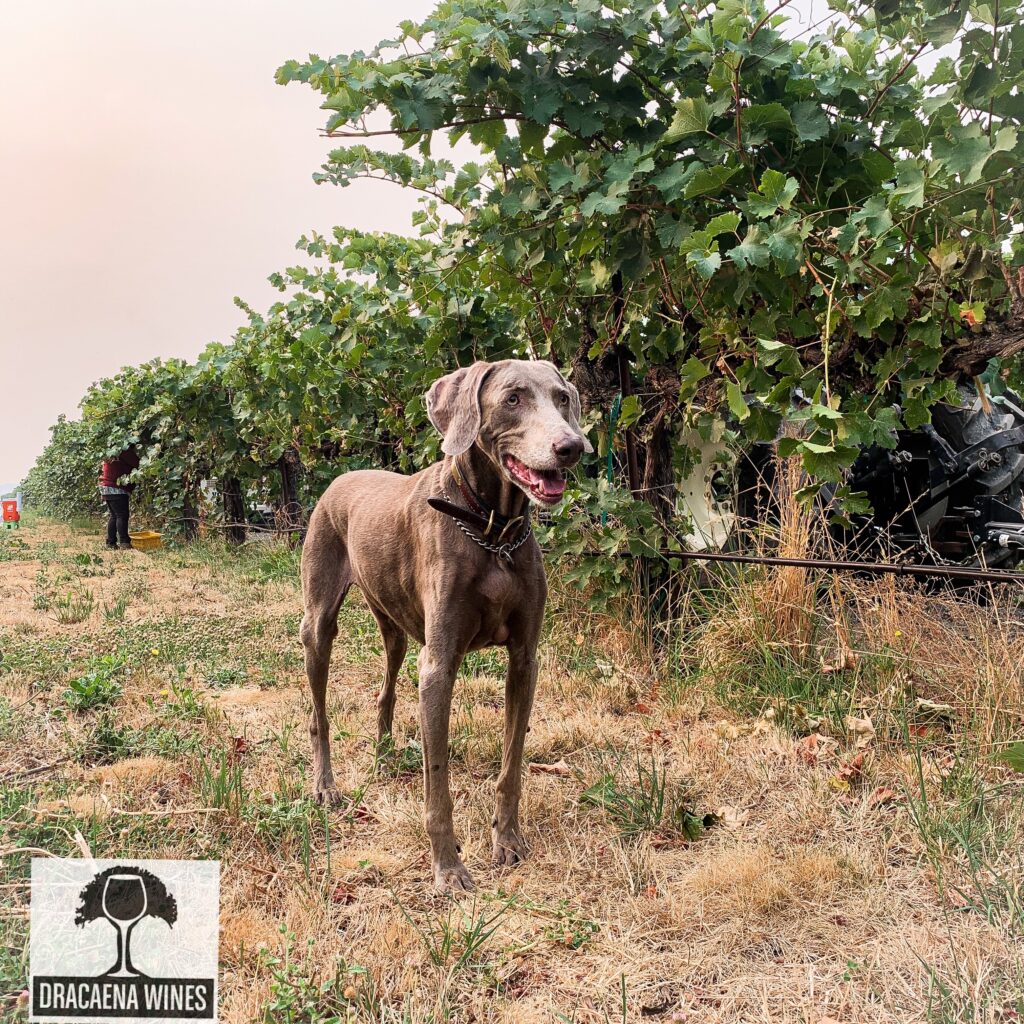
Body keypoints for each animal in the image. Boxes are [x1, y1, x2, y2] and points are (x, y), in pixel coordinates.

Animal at [299, 358, 593, 888]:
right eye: (512, 398)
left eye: (562, 398)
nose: (572, 447)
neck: (491, 529)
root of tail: (339, 479)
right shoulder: (439, 665)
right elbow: (437, 779)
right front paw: (448, 866)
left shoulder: (525, 660)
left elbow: (512, 764)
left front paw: (508, 839)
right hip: (319, 622)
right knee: (319, 712)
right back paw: (326, 787)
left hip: (394, 625)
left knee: (386, 685)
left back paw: (384, 754)